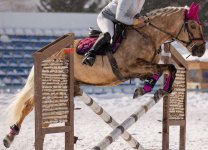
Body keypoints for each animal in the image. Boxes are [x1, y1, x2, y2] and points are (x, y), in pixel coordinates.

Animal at [2, 5, 206, 148]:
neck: (148, 36)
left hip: (68, 88)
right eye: (193, 25)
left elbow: (165, 70)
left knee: (45, 117)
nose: (201, 50)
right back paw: (10, 136)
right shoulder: (129, 67)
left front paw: (148, 89)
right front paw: (154, 88)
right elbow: (167, 68)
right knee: (29, 106)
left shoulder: (144, 67)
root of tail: (51, 51)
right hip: (54, 85)